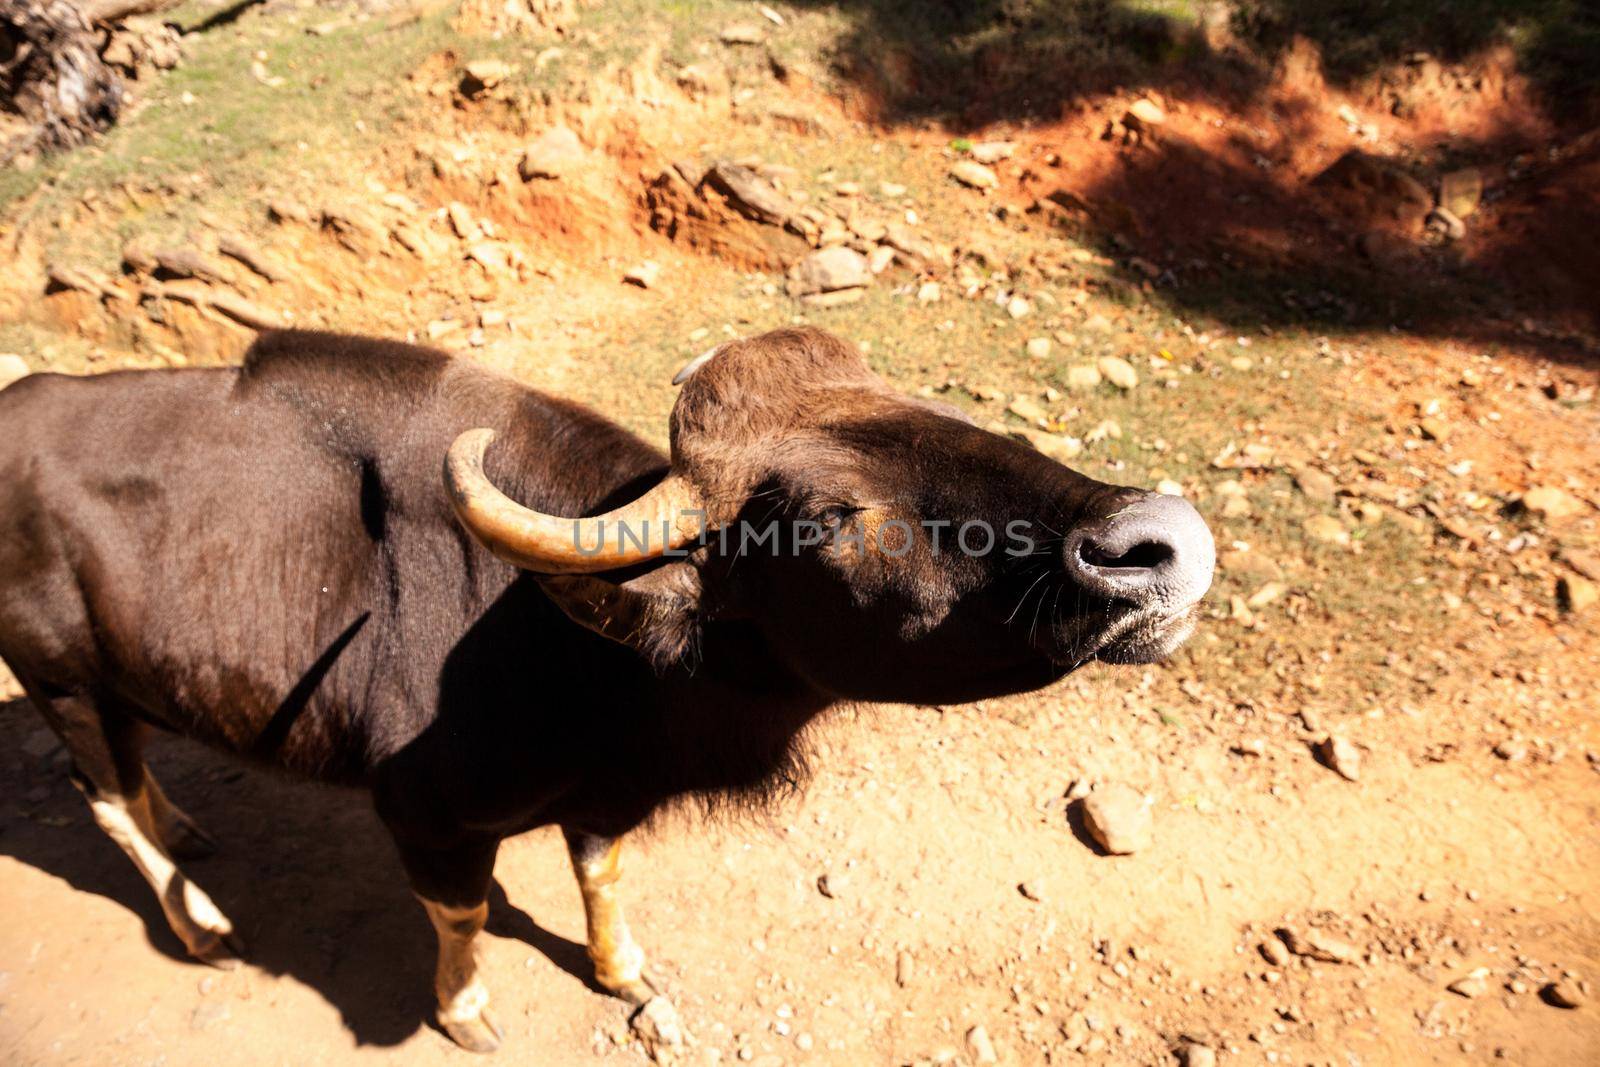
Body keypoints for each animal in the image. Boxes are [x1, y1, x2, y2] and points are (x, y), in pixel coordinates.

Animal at [0, 329, 1203, 1055]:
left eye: (933, 409)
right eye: (824, 515)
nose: (1156, 542)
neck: (573, 644)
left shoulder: (608, 791)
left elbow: (600, 869)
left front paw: (622, 969)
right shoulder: (424, 815)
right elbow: (463, 913)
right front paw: (466, 1009)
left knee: (135, 775)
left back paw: (191, 833)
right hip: (57, 678)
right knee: (104, 796)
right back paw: (200, 922)